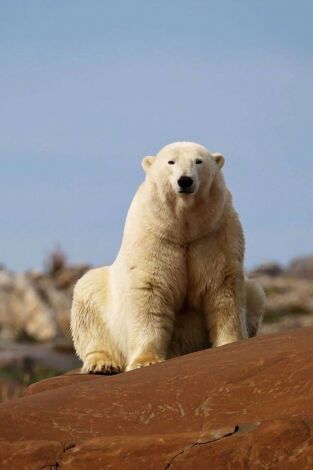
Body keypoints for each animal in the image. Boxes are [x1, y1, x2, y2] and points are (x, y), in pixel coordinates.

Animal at [71, 141, 266, 372]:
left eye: (198, 161)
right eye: (170, 162)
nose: (185, 180)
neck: (183, 228)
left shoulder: (214, 235)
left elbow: (221, 286)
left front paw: (230, 343)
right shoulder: (155, 237)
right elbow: (151, 290)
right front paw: (145, 361)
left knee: (255, 292)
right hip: (100, 303)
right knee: (88, 302)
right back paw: (102, 364)